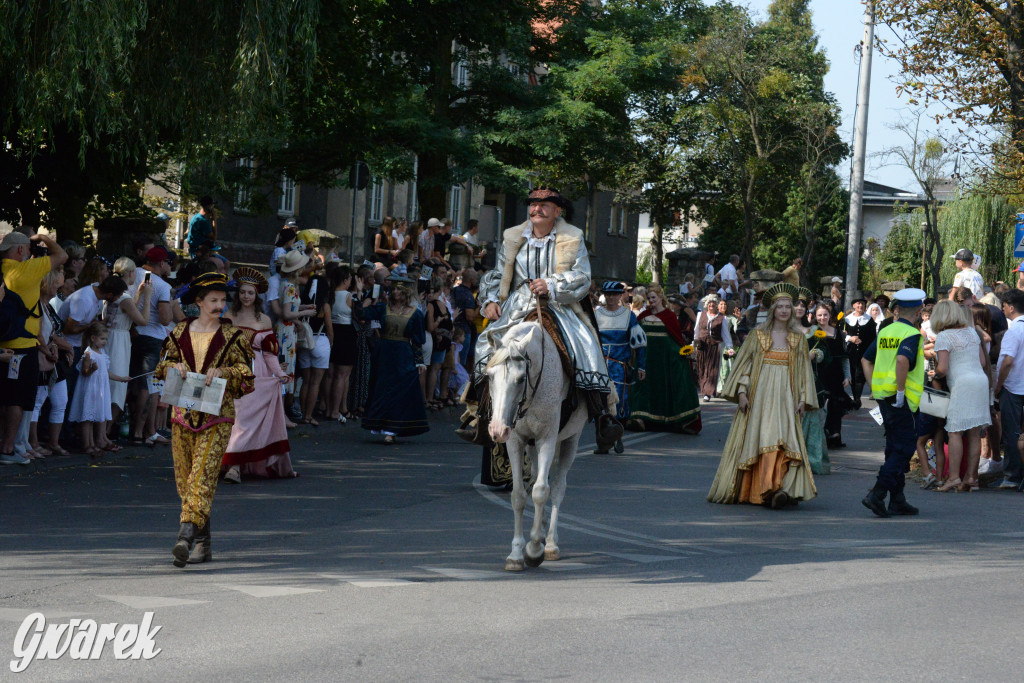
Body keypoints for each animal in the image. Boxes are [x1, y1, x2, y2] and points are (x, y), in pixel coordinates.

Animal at [485, 321, 589, 573]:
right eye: (490, 376)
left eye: (521, 378)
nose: (497, 429)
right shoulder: (516, 440)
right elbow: (519, 495)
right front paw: (515, 554)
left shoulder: (547, 439)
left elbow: (542, 491)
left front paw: (533, 550)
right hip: (532, 448)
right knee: (534, 478)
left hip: (570, 440)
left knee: (557, 487)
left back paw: (549, 543)